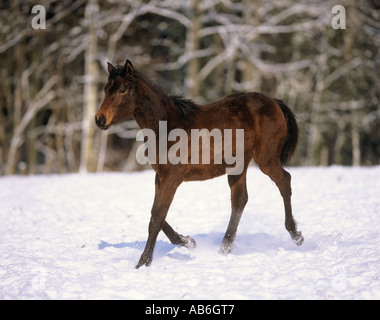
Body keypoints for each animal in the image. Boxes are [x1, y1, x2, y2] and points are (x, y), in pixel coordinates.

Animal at [95, 58, 302, 268]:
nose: (100, 119)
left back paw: (296, 235)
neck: (167, 126)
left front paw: (143, 262)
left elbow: (157, 216)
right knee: (240, 200)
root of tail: (274, 102)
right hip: (238, 166)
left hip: (266, 159)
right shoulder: (160, 176)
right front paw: (187, 241)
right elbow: (156, 214)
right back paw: (224, 248)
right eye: (106, 89)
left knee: (284, 181)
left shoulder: (172, 177)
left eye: (122, 90)